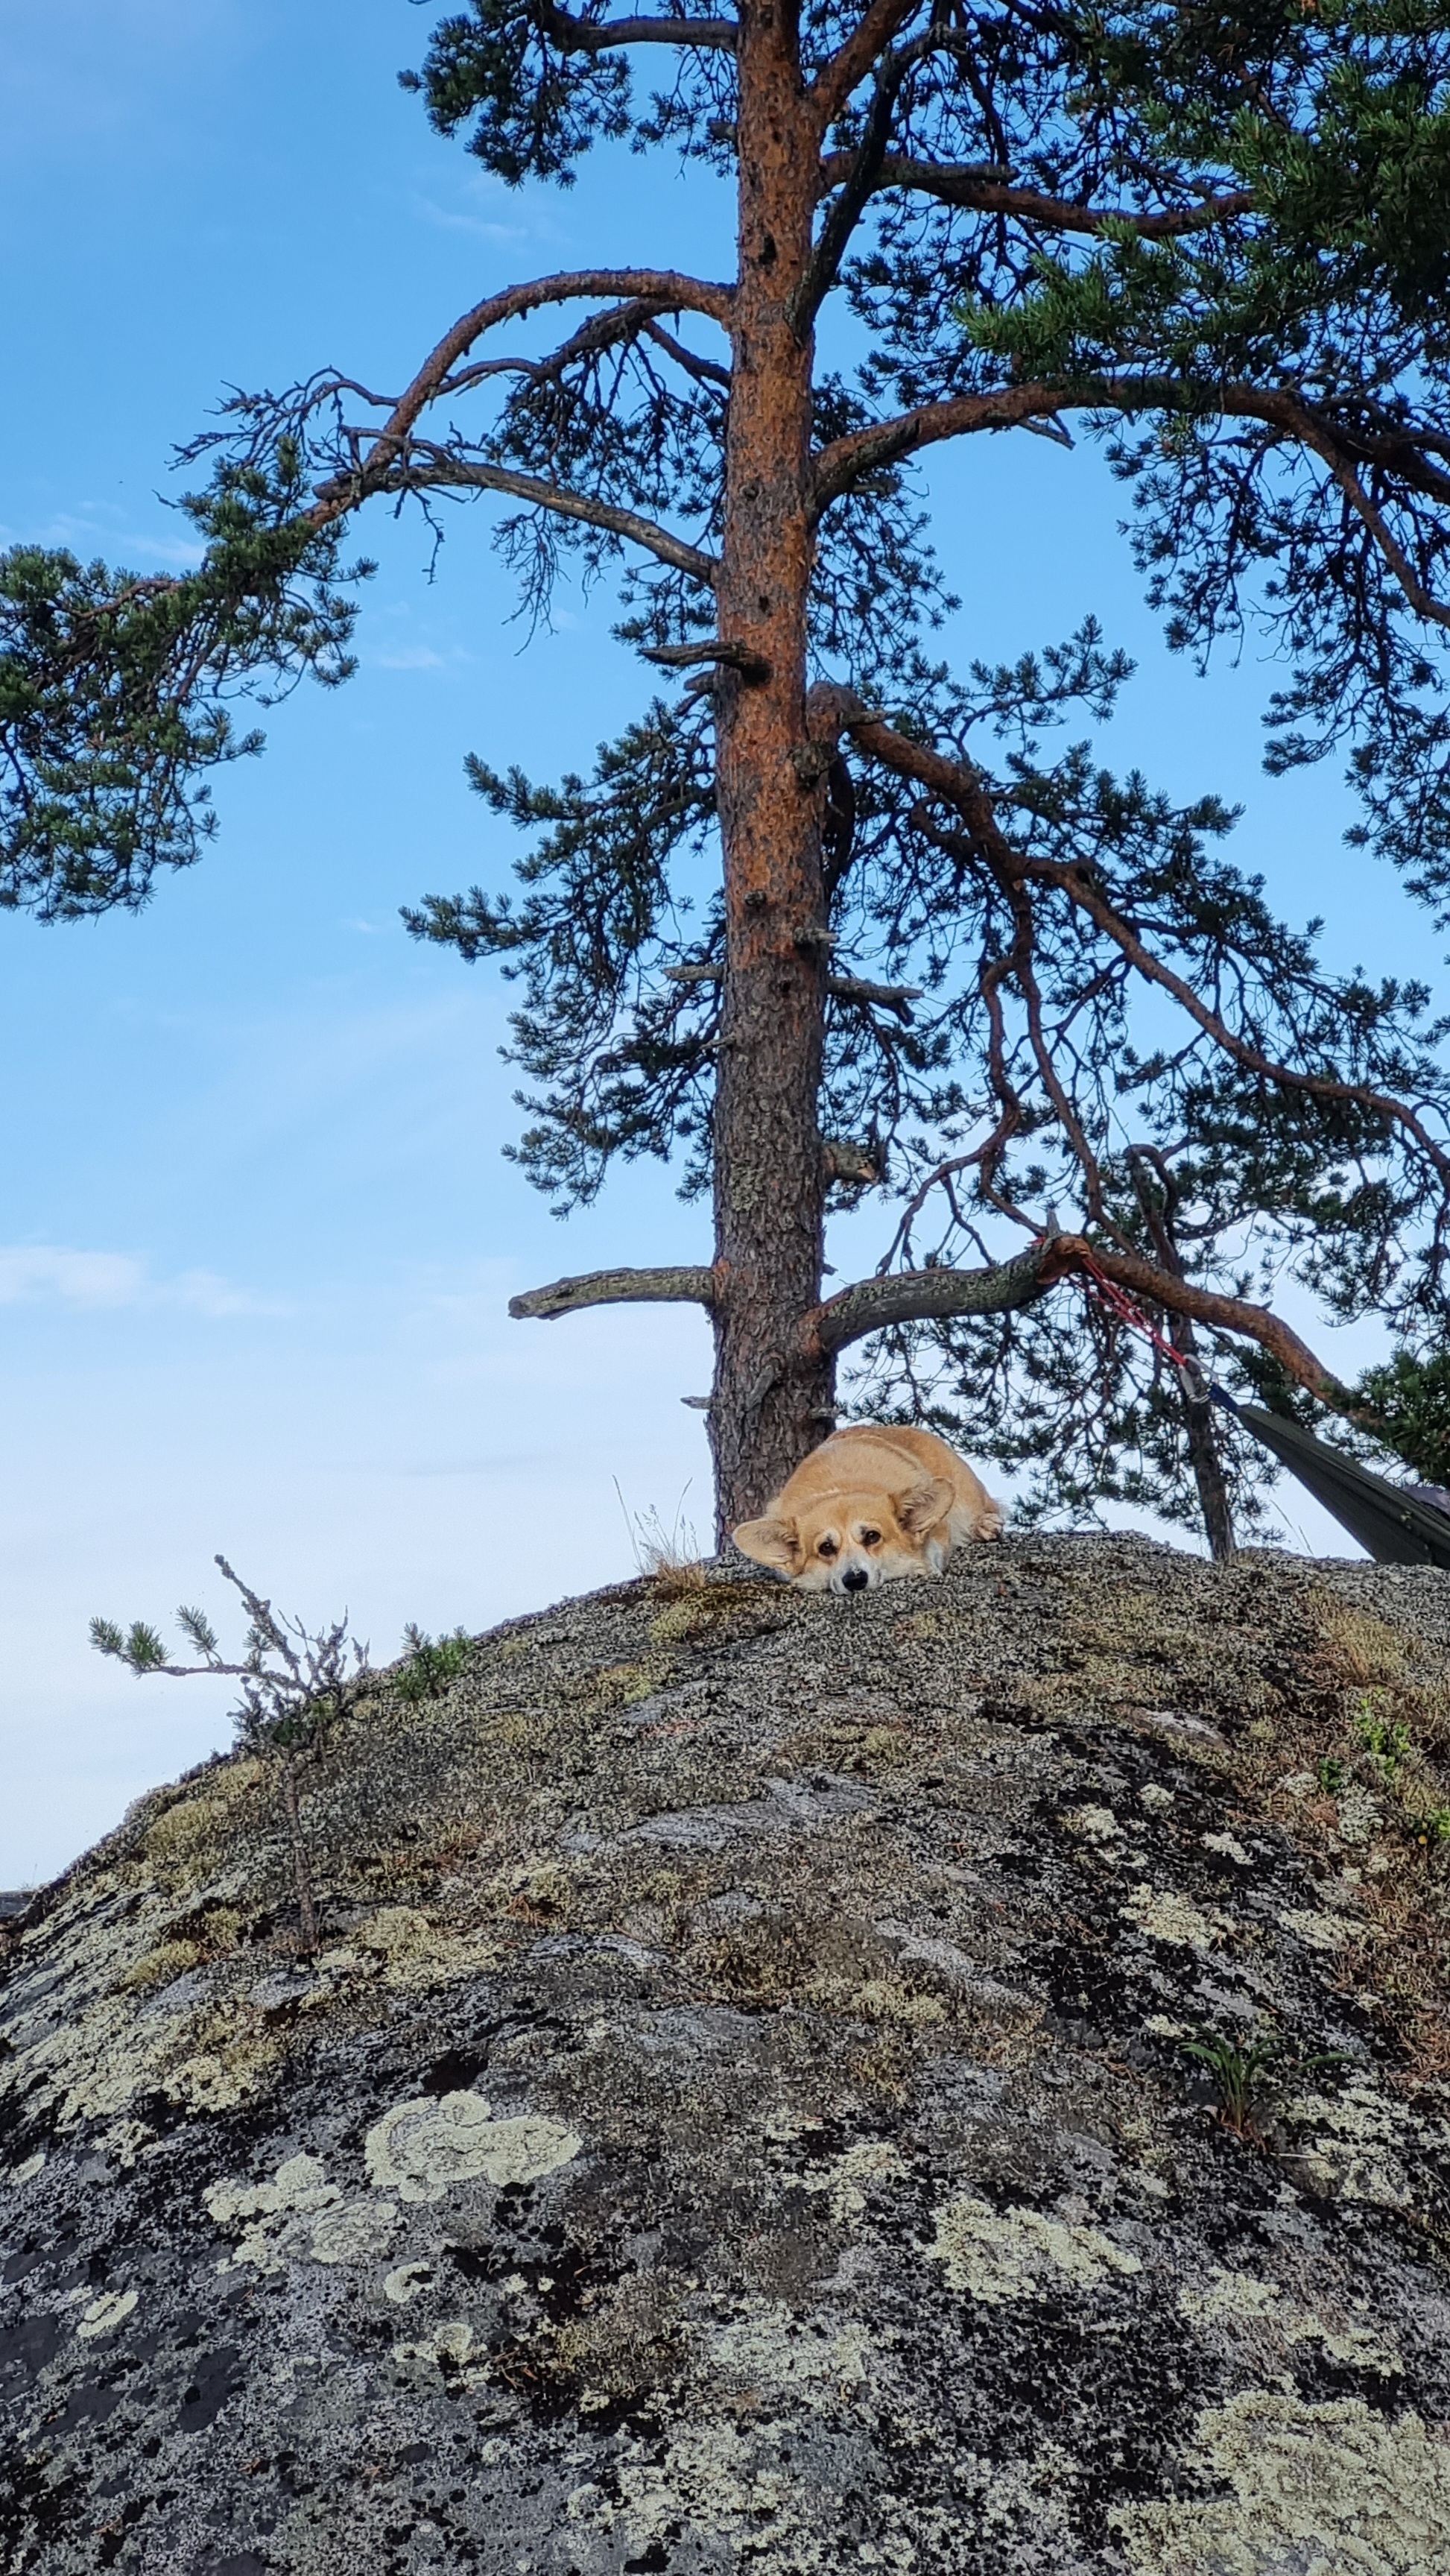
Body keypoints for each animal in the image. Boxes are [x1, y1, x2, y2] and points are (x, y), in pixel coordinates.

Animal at [731, 1421, 1004, 1597]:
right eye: (826, 1548)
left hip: (966, 1496)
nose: (855, 1580)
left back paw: (986, 1525)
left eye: (873, 1536)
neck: (842, 1489)